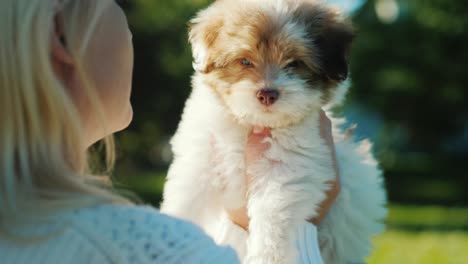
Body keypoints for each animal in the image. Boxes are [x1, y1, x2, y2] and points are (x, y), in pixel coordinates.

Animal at [161, 1, 388, 262]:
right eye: (245, 61)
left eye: (294, 64)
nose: (267, 94)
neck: (253, 123)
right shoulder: (200, 160)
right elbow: (185, 201)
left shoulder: (287, 168)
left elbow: (271, 215)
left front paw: (268, 256)